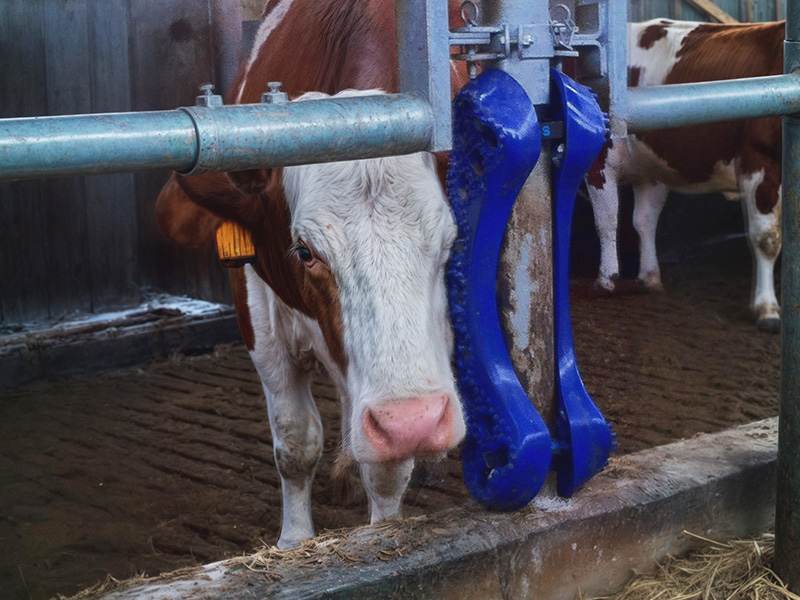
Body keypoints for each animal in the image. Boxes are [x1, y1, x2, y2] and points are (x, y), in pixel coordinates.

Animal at [155, 0, 471, 549]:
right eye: (304, 251)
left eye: (449, 240)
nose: (413, 423)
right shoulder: (257, 310)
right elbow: (296, 440)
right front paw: (295, 540)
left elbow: (386, 467)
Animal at [587, 19, 784, 332]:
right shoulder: (759, 160)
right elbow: (766, 238)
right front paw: (767, 310)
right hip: (601, 159)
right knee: (607, 220)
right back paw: (607, 281)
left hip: (651, 167)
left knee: (644, 220)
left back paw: (650, 278)